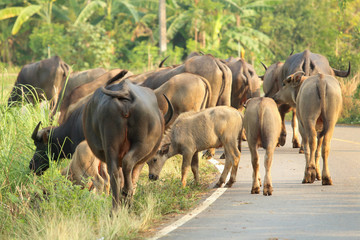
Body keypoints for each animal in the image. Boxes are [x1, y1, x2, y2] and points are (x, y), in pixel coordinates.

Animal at [83, 79, 174, 209]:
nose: (153, 177)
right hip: (143, 144)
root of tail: (125, 91)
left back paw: (115, 208)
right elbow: (134, 177)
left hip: (110, 144)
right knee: (128, 163)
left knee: (114, 173)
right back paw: (127, 194)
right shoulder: (140, 162)